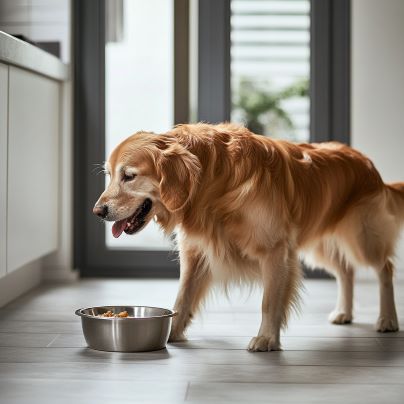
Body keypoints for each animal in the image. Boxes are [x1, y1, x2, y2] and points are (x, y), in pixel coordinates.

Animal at [93, 122, 402, 350]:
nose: (97, 211)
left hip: (362, 237)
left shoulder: (275, 250)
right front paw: (171, 333)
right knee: (346, 270)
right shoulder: (196, 251)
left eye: (129, 176)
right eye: (109, 175)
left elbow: (269, 301)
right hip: (322, 244)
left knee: (384, 268)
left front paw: (266, 339)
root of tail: (368, 164)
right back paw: (344, 313)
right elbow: (182, 298)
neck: (213, 181)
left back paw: (387, 319)